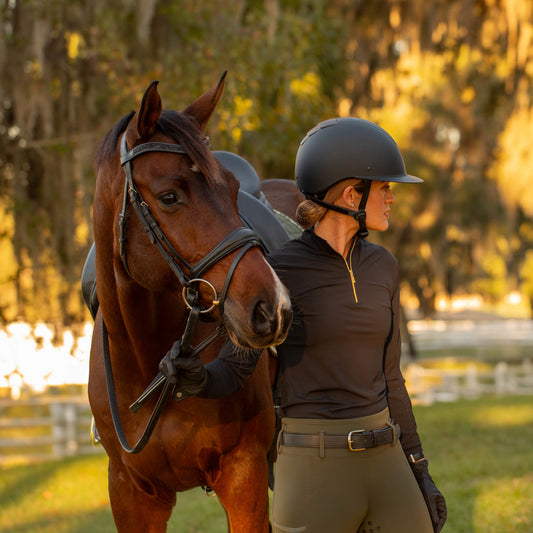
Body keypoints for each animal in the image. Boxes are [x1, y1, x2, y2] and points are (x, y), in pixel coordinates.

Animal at [89, 75, 294, 532]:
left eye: (232, 191)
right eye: (169, 197)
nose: (273, 308)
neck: (148, 364)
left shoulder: (243, 474)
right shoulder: (130, 495)